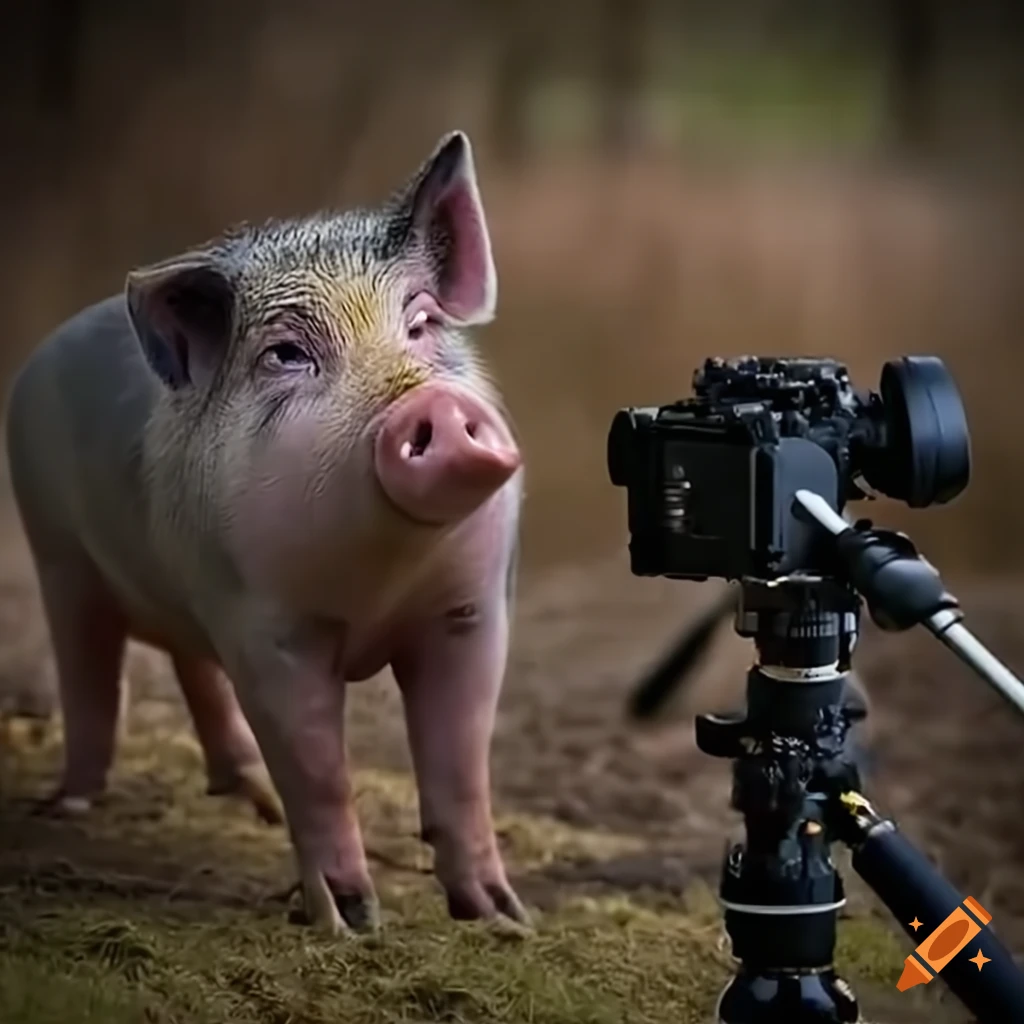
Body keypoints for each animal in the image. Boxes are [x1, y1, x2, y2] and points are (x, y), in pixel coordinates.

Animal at [4, 130, 529, 933]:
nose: (431, 404)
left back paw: (246, 797)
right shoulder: (263, 624)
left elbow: (462, 768)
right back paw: (72, 806)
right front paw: (352, 924)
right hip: (56, 549)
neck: (382, 587)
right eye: (286, 355)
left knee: (193, 670)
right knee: (88, 669)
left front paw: (506, 920)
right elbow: (316, 771)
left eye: (422, 325)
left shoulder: (471, 610)